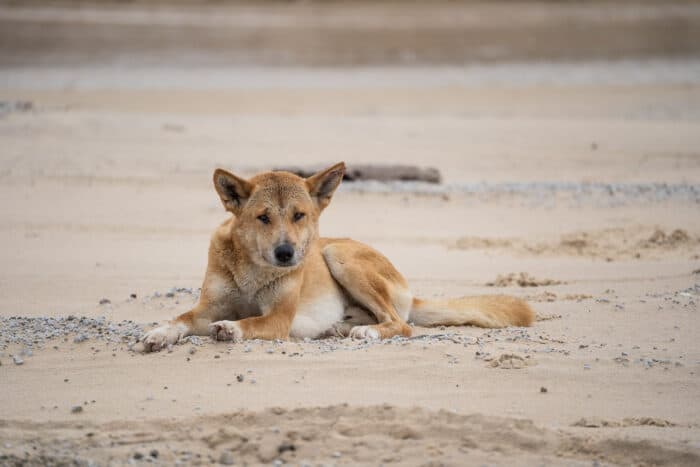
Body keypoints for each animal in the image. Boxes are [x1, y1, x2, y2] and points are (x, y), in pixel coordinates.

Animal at [144, 163, 536, 352]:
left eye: (299, 215)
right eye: (263, 217)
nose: (286, 253)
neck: (253, 271)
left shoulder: (279, 318)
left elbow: (250, 323)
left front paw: (230, 329)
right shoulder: (206, 308)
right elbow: (180, 319)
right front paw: (159, 333)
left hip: (338, 255)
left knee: (400, 323)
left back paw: (367, 331)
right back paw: (343, 326)